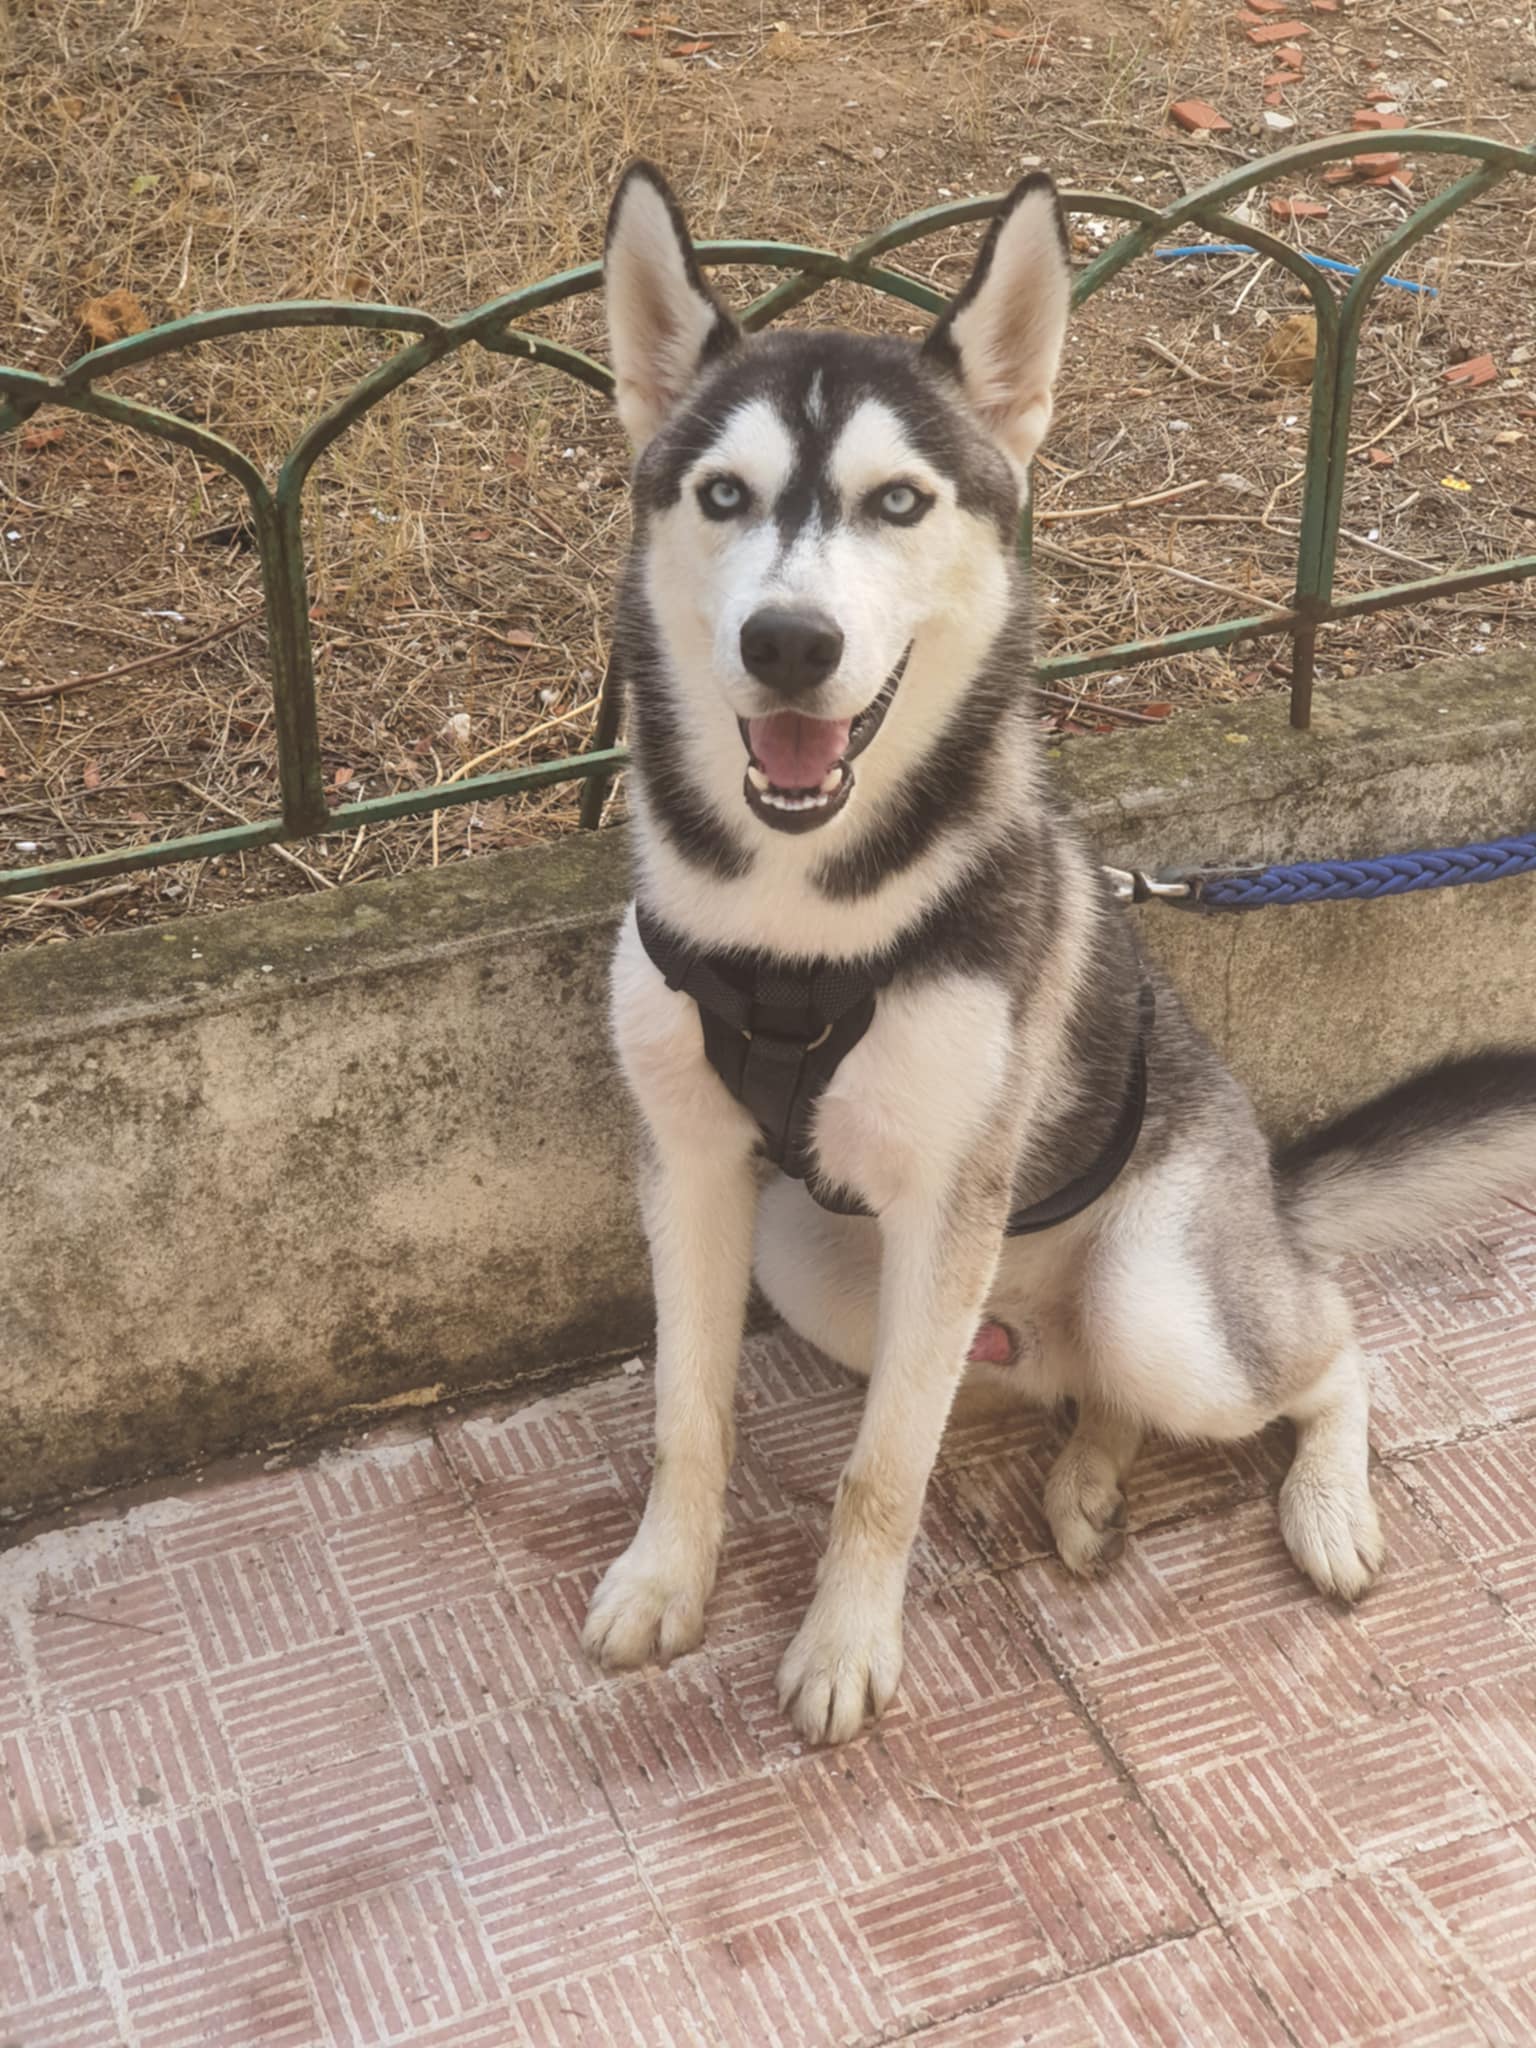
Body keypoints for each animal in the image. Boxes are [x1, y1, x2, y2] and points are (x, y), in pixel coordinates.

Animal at [581, 159, 1536, 1744]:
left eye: (898, 501)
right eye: (722, 494)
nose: (788, 643)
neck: (798, 914)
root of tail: (1269, 1198)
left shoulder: (947, 1201)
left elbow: (880, 1475)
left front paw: (846, 1645)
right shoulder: (696, 1169)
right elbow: (684, 1418)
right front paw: (669, 1577)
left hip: (1158, 1294)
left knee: (1327, 1346)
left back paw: (1321, 1500)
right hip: (825, 1264)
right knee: (1071, 1389)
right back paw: (1089, 1476)